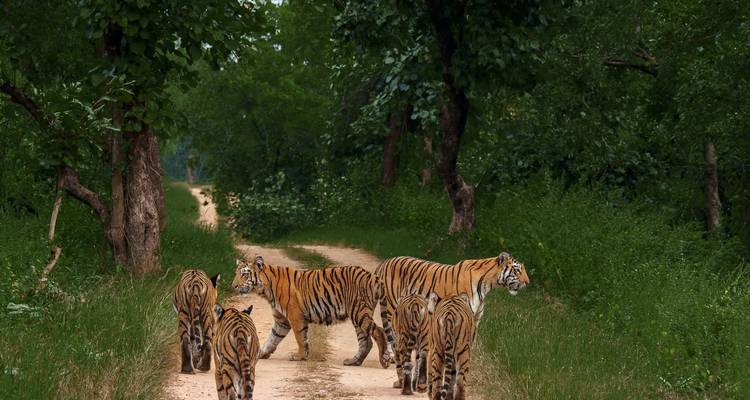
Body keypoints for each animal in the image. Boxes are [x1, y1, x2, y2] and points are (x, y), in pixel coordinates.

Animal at [231, 255, 389, 368]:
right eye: (236, 273)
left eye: (244, 274)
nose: (233, 286)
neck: (265, 290)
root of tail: (373, 276)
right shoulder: (281, 320)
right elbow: (272, 337)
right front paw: (261, 353)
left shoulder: (295, 316)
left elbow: (300, 338)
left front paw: (299, 356)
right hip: (358, 316)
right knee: (366, 341)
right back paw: (353, 361)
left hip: (358, 311)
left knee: (378, 331)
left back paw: (384, 360)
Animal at [375, 252, 529, 361]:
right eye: (517, 270)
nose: (528, 282)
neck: (487, 285)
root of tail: (386, 262)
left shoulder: (475, 318)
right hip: (391, 306)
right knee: (389, 330)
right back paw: (391, 355)